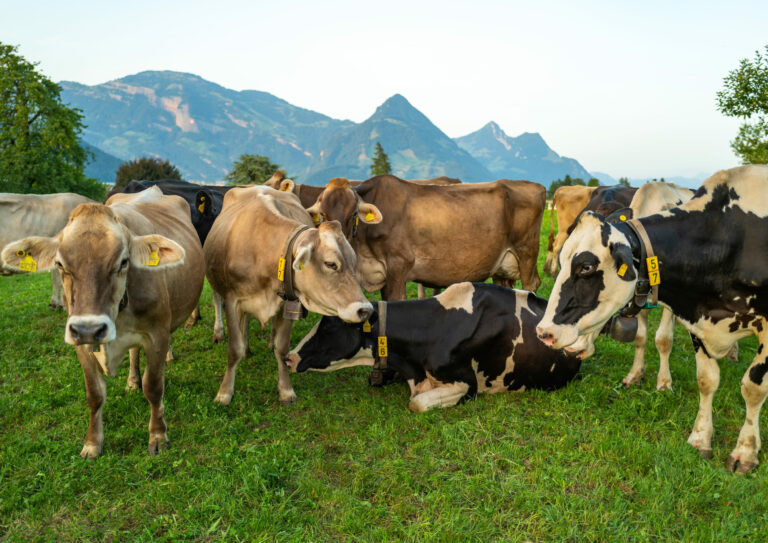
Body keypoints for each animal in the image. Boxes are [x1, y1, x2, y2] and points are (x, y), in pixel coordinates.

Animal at [1, 187, 205, 458]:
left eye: (123, 261)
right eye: (59, 264)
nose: (89, 328)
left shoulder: (156, 335)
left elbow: (154, 387)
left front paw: (158, 436)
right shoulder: (81, 342)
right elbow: (95, 394)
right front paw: (92, 443)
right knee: (133, 353)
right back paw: (132, 381)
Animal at [203, 185, 373, 406]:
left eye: (353, 262)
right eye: (330, 264)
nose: (365, 310)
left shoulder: (288, 303)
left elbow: (282, 348)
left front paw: (285, 390)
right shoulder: (232, 301)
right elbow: (234, 349)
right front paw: (224, 393)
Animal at [305, 175, 545, 300]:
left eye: (353, 214)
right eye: (323, 215)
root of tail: (535, 185)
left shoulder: (399, 265)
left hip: (527, 252)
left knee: (532, 284)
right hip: (502, 267)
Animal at [535, 165, 768, 473]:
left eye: (586, 267)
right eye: (561, 261)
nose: (544, 333)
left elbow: (751, 386)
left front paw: (745, 451)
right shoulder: (683, 309)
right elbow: (703, 377)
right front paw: (699, 436)